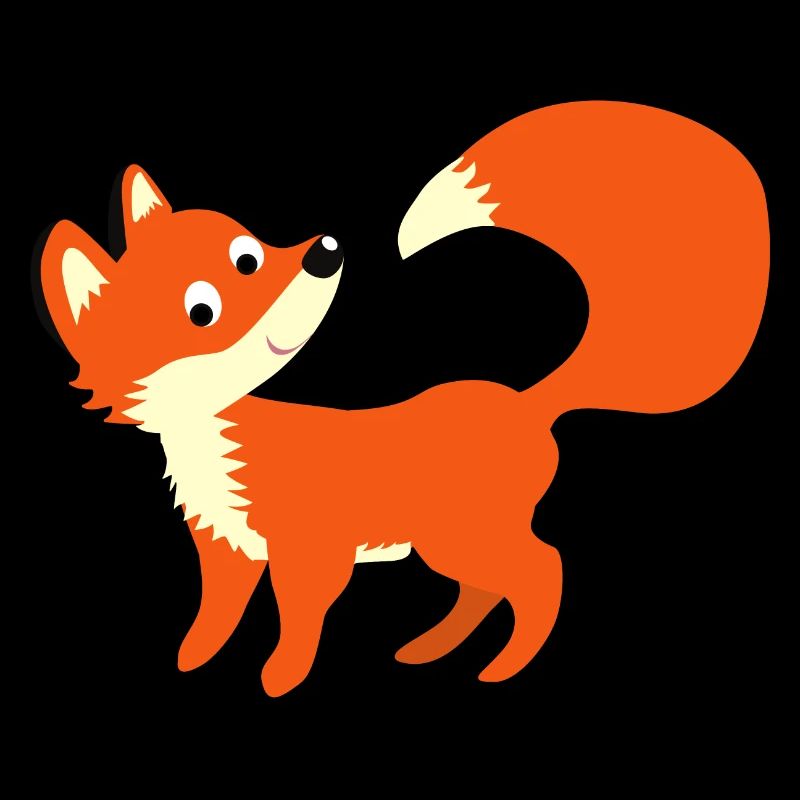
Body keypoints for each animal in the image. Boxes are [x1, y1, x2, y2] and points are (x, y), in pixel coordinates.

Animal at [37, 101, 768, 697]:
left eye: (248, 255)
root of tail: (526, 401)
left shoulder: (311, 553)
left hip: (463, 537)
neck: (217, 443)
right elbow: (216, 615)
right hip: (451, 544)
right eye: (201, 311)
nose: (324, 252)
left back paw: (503, 668)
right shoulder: (225, 549)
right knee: (484, 593)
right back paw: (430, 650)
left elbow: (298, 622)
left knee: (543, 572)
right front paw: (193, 659)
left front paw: (281, 678)